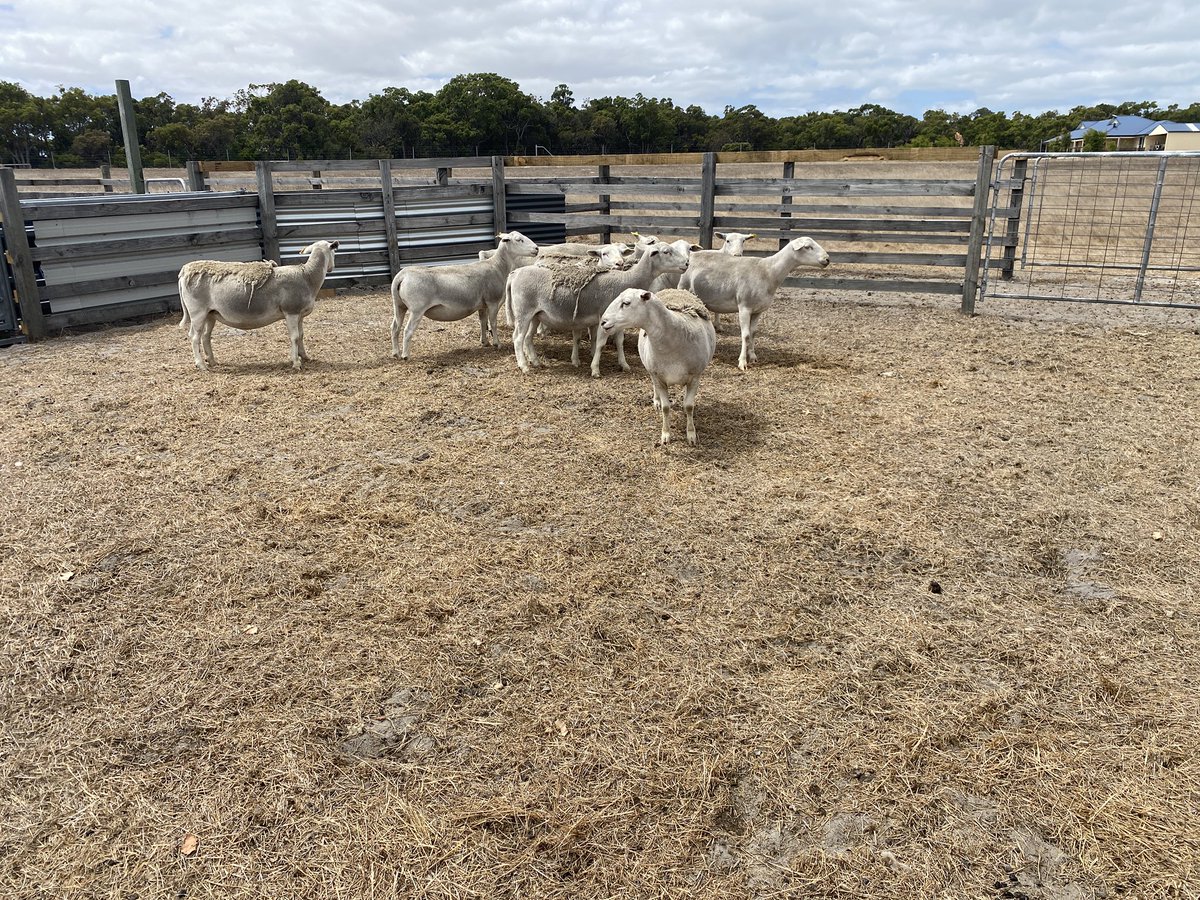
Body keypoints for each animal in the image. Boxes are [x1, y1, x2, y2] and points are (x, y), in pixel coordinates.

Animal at [177, 240, 339, 371]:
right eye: (334, 251)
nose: (332, 268)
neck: (308, 276)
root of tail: (184, 272)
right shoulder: (291, 312)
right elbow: (294, 337)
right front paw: (296, 362)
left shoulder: (299, 314)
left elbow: (301, 335)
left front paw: (304, 356)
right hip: (197, 312)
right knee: (194, 337)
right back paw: (201, 365)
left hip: (210, 313)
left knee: (205, 336)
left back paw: (211, 361)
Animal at [391, 230, 539, 360]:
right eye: (519, 240)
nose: (537, 249)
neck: (497, 266)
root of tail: (402, 276)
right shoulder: (492, 301)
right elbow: (493, 322)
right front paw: (497, 343)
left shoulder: (483, 304)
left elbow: (482, 321)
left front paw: (485, 342)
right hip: (417, 309)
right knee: (407, 330)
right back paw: (405, 356)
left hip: (399, 305)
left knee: (395, 327)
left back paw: (395, 353)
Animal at [506, 241, 691, 377]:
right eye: (666, 252)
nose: (687, 263)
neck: (626, 279)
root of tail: (515, 273)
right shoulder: (604, 317)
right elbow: (601, 343)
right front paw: (595, 369)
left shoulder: (619, 319)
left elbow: (619, 341)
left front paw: (624, 364)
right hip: (523, 312)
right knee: (518, 338)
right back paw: (524, 366)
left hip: (536, 315)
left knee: (528, 337)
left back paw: (535, 362)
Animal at [599, 288, 717, 446]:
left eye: (626, 303)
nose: (603, 322)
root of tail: (673, 289)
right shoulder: (658, 377)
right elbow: (666, 408)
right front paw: (665, 434)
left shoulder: (695, 376)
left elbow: (689, 406)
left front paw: (691, 435)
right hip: (651, 370)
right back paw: (656, 401)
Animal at [678, 236, 829, 371]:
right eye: (808, 247)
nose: (827, 259)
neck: (768, 272)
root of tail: (691, 255)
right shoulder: (744, 307)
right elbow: (745, 335)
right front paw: (742, 362)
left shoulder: (758, 310)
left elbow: (753, 333)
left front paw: (753, 357)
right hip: (683, 289)